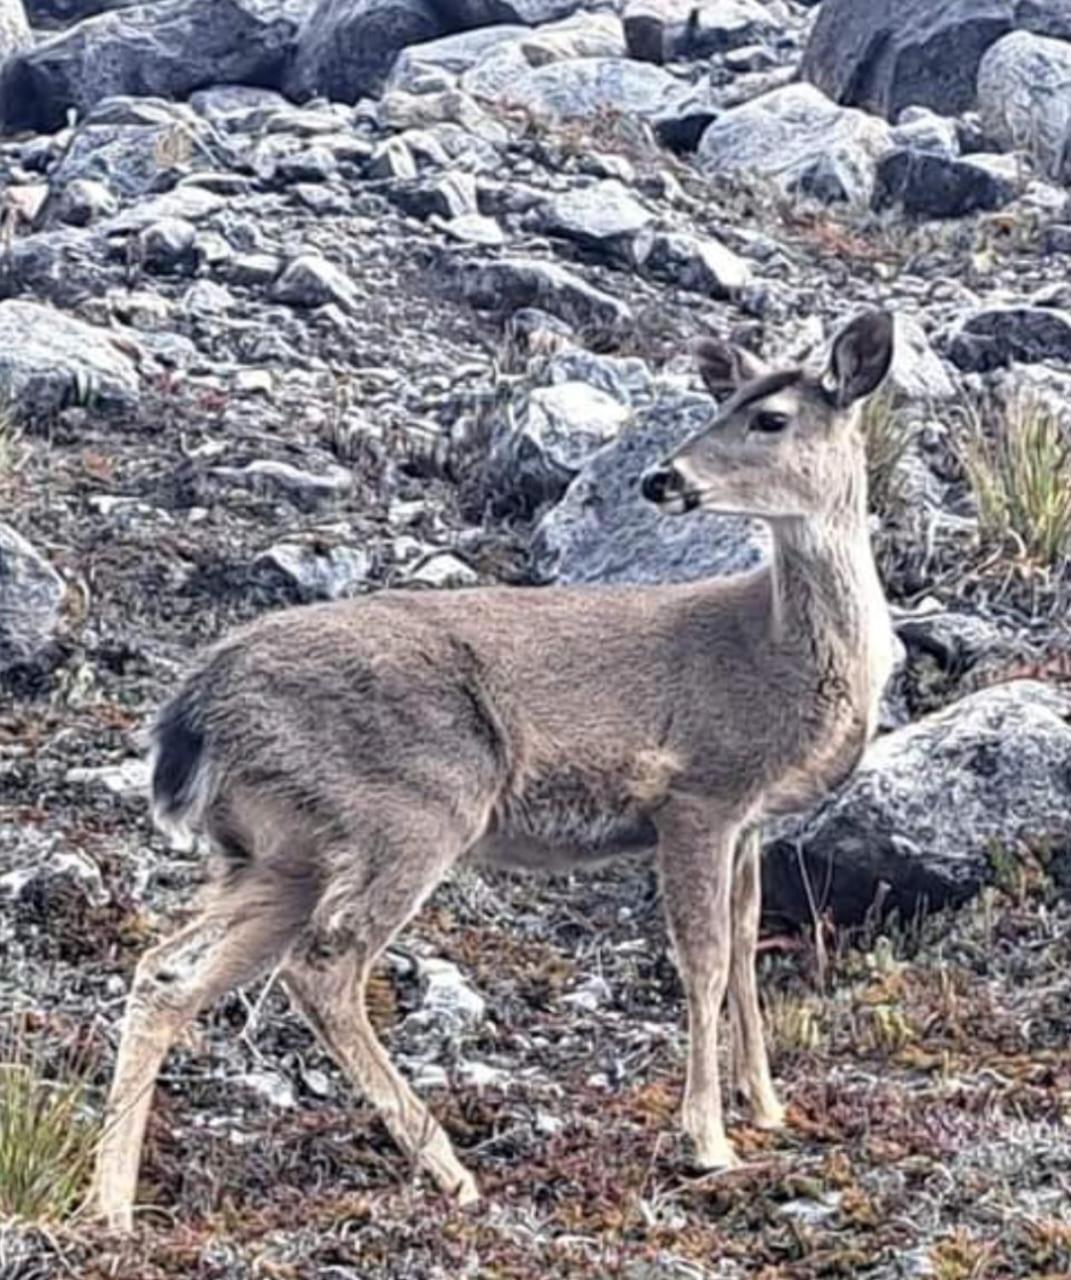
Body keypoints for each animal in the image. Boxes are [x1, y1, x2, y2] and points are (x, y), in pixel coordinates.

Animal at [89, 307, 895, 1228]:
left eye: (769, 417)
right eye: (722, 404)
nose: (661, 478)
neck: (780, 657)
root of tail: (192, 709)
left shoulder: (749, 819)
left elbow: (745, 951)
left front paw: (766, 1108)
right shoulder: (698, 793)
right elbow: (706, 959)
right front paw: (708, 1141)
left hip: (279, 847)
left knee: (166, 971)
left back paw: (109, 1208)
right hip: (410, 806)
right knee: (323, 967)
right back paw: (450, 1169)